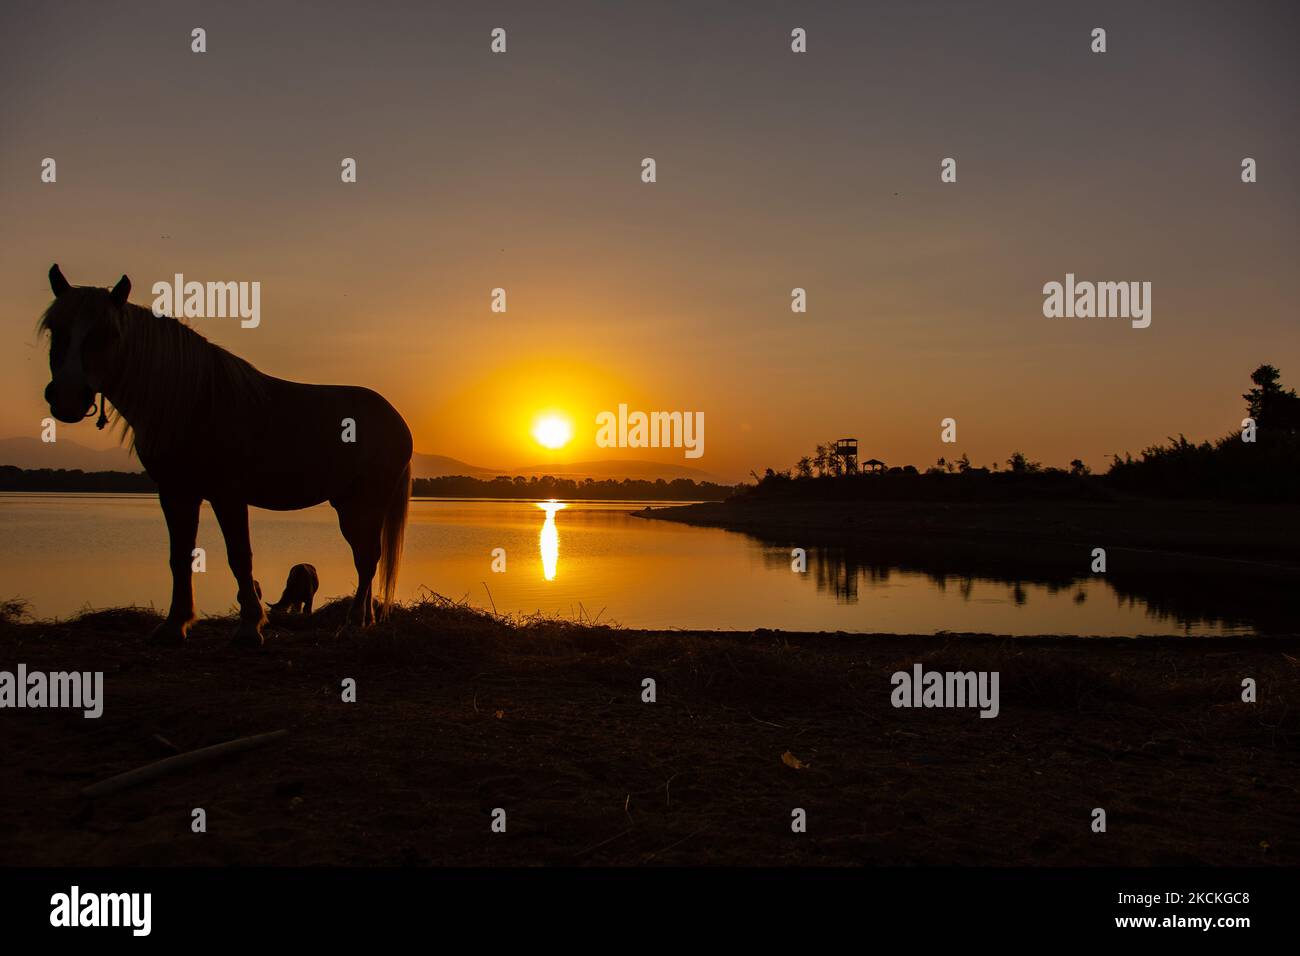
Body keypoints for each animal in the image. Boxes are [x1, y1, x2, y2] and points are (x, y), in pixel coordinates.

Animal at [40, 265, 408, 647]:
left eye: (108, 334)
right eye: (55, 329)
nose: (66, 396)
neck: (194, 402)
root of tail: (396, 420)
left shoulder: (227, 494)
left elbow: (239, 557)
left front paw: (249, 628)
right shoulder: (176, 492)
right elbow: (180, 556)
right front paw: (174, 625)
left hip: (364, 504)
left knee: (367, 559)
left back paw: (352, 623)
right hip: (349, 505)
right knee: (367, 558)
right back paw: (364, 620)